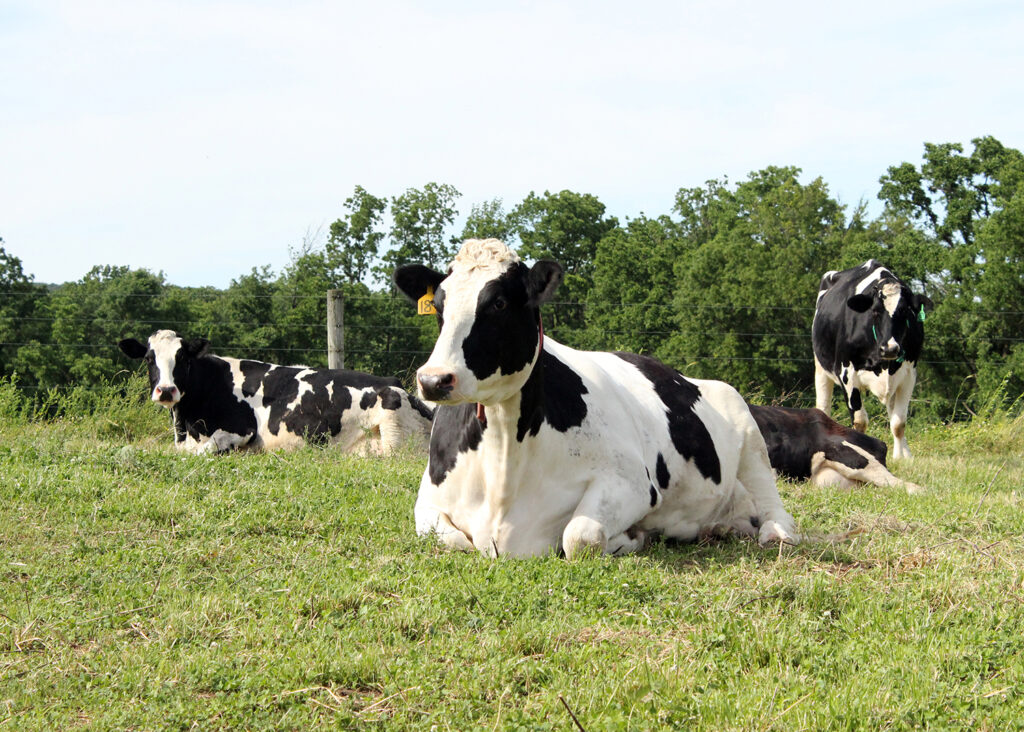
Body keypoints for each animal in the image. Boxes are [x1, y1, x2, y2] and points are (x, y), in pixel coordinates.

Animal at [118, 331, 432, 454]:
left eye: (182, 358)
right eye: (149, 359)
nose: (166, 390)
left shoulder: (240, 429)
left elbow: (201, 452)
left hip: (393, 431)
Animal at [391, 237, 798, 556]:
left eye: (499, 303)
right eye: (439, 306)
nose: (433, 379)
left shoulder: (634, 484)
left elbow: (580, 536)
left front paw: (631, 538)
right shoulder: (427, 501)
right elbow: (453, 539)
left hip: (745, 424)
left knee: (772, 499)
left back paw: (777, 533)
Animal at [811, 262, 933, 458]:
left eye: (905, 311)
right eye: (875, 311)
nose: (890, 348)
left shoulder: (908, 375)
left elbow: (899, 423)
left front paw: (900, 458)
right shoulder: (846, 373)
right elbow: (859, 421)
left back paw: (905, 453)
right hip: (821, 369)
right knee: (823, 407)